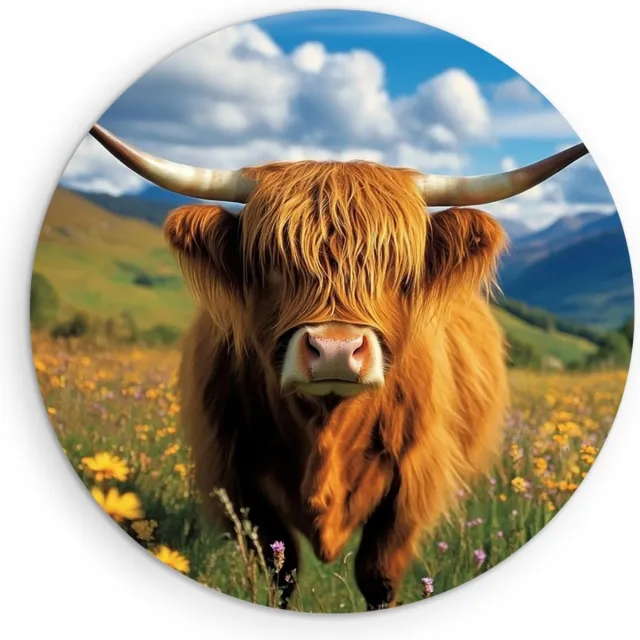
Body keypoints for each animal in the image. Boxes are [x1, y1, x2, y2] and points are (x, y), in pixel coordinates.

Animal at [89, 124, 588, 610]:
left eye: (397, 270)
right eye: (272, 263)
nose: (335, 349)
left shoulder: (412, 480)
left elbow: (378, 575)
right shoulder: (236, 475)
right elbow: (281, 571)